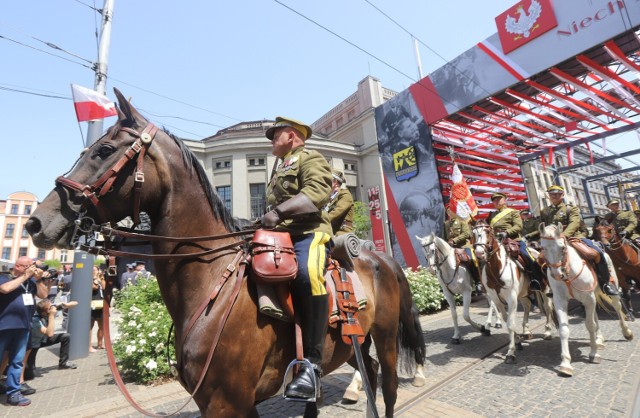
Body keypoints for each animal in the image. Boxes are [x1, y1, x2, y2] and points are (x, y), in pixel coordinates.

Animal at [26, 89, 424, 418]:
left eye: (103, 151)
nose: (36, 222)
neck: (211, 284)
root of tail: (380, 258)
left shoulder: (225, 402)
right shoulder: (225, 403)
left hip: (385, 335)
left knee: (388, 386)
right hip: (352, 342)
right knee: (370, 372)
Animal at [536, 224, 632, 378]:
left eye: (562, 247)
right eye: (543, 248)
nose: (557, 275)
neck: (568, 272)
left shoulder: (588, 298)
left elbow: (590, 325)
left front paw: (593, 354)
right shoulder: (561, 301)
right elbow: (564, 329)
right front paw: (566, 364)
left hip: (611, 289)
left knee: (617, 307)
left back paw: (627, 333)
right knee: (595, 315)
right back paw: (599, 339)